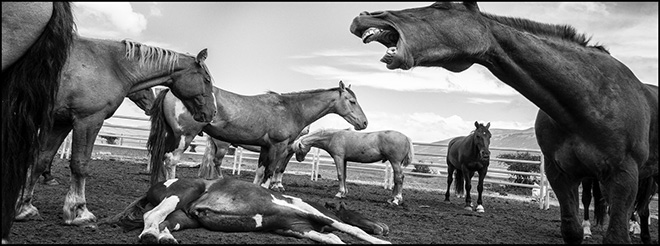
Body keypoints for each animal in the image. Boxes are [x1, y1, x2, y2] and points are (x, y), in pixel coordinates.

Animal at [14, 35, 217, 228]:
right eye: (206, 80)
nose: (213, 112)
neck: (111, 66)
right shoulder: (88, 119)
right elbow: (79, 164)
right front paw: (78, 211)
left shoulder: (60, 122)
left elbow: (41, 160)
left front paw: (24, 208)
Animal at [146, 80, 368, 190]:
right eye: (352, 101)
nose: (364, 122)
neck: (291, 109)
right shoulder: (279, 146)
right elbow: (271, 172)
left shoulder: (265, 147)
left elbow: (260, 173)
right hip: (185, 136)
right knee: (171, 160)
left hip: (172, 136)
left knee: (162, 158)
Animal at [348, 2, 656, 244]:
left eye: (442, 5)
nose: (364, 15)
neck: (588, 99)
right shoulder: (560, 174)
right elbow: (572, 230)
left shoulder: (624, 175)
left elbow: (616, 234)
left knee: (641, 209)